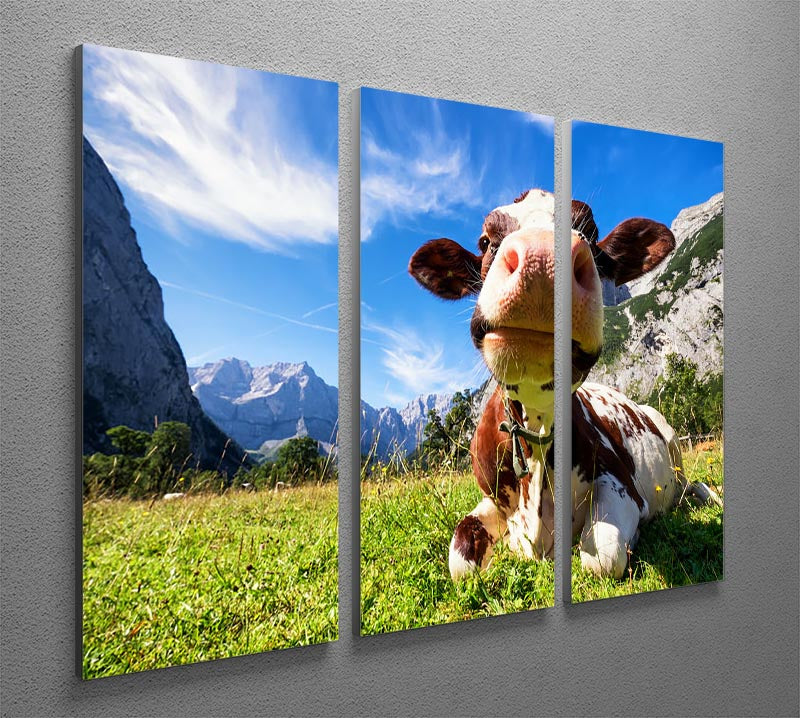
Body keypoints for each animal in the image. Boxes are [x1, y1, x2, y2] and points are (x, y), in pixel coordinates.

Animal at [408, 188, 717, 580]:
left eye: (591, 235)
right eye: (485, 241)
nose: (541, 261)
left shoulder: (622, 484)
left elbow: (601, 556)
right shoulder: (490, 499)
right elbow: (460, 558)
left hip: (673, 441)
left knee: (690, 484)